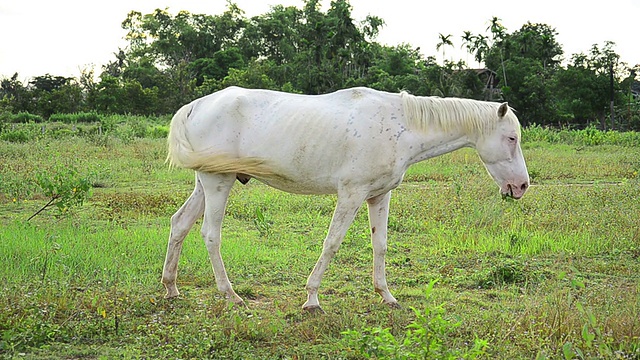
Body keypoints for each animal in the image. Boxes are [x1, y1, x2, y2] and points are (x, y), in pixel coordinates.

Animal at [161, 85, 528, 312]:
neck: (403, 125)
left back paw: (171, 287)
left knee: (180, 224)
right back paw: (231, 295)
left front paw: (386, 295)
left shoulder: (379, 196)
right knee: (210, 235)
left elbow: (380, 245)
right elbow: (332, 243)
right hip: (218, 183)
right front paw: (312, 298)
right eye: (511, 138)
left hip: (204, 184)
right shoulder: (351, 194)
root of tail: (196, 106)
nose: (522, 186)